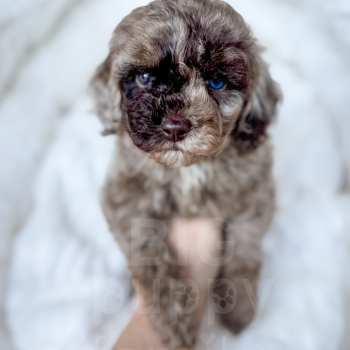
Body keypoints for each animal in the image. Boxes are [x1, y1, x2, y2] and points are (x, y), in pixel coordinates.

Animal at [89, 0, 280, 348]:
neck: (189, 168)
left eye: (216, 82)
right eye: (145, 77)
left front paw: (237, 304)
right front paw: (175, 318)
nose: (175, 127)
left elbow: (245, 245)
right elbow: (148, 249)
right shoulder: (124, 197)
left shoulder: (257, 192)